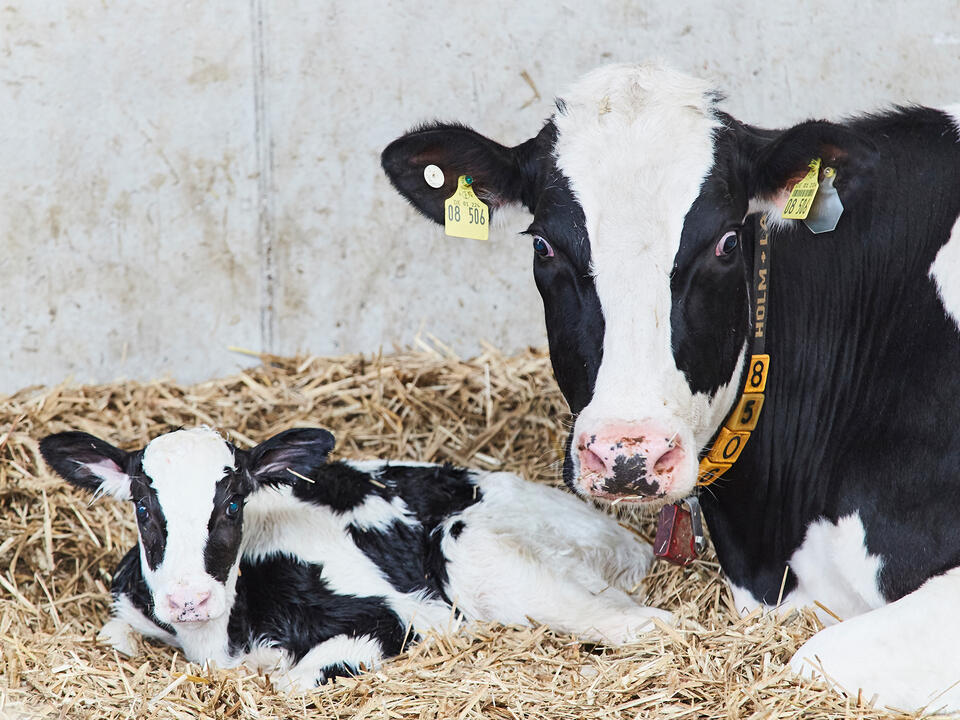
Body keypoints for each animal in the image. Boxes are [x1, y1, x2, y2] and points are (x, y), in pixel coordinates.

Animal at [41, 424, 672, 688]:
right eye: (143, 505)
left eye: (233, 504)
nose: (187, 598)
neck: (218, 641)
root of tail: (632, 543)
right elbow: (113, 635)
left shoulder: (391, 616)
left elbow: (294, 683)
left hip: (471, 545)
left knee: (648, 623)